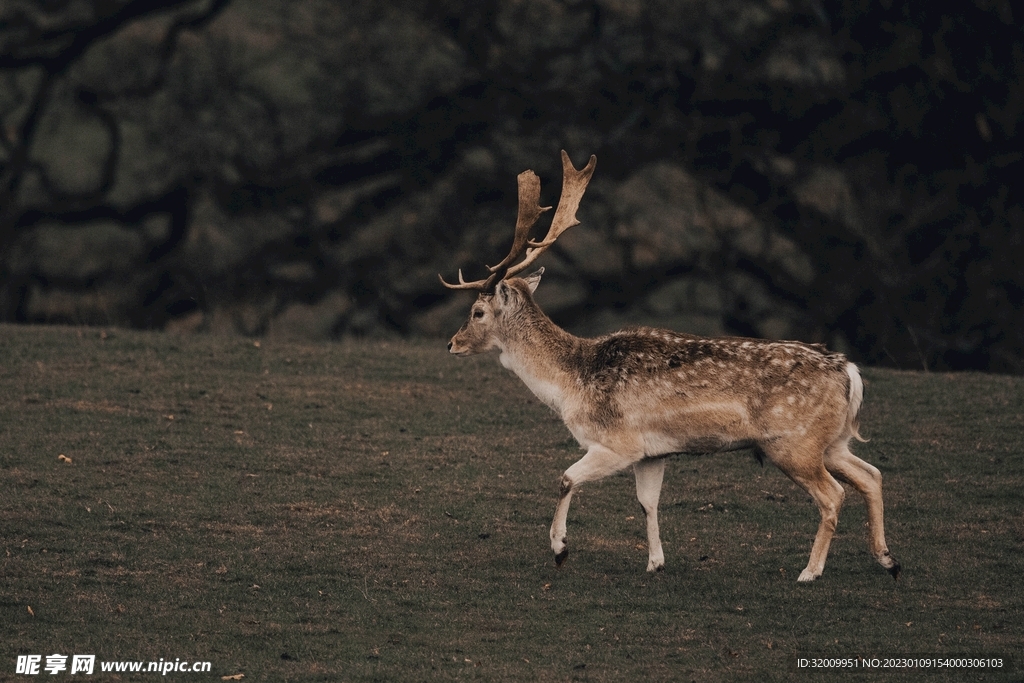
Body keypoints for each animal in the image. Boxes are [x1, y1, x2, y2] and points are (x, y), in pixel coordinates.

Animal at [440, 150, 900, 582]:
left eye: (477, 312)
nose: (451, 343)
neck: (573, 383)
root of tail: (849, 372)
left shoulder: (618, 443)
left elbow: (566, 478)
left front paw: (560, 549)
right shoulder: (652, 452)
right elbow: (648, 503)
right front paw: (655, 562)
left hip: (793, 443)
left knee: (834, 494)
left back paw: (811, 571)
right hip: (832, 440)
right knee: (872, 474)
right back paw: (887, 559)